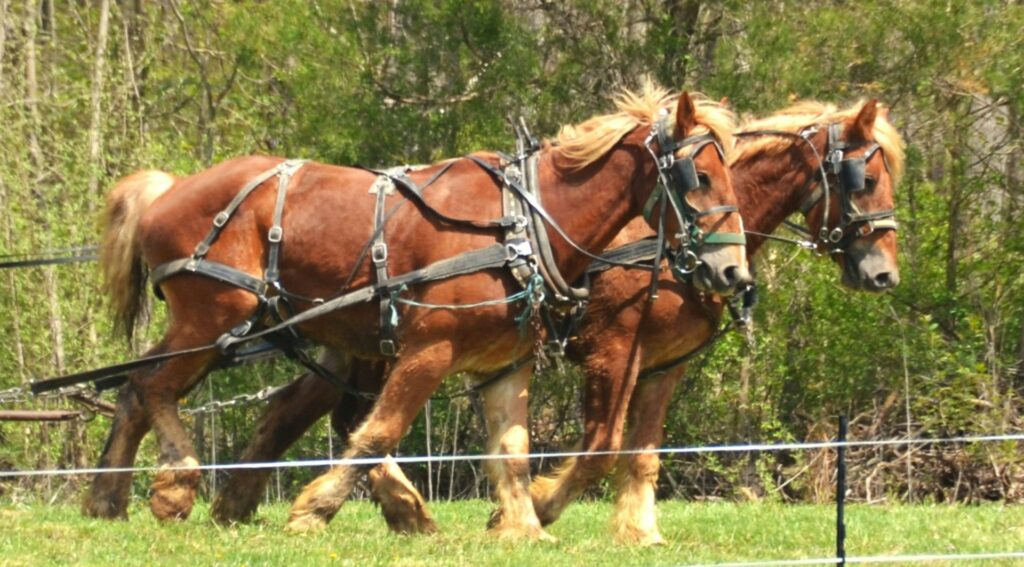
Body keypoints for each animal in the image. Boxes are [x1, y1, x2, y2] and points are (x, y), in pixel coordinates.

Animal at [84, 85, 749, 540]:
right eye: (700, 175)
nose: (733, 273)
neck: (521, 226)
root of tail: (169, 189)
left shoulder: (504, 364)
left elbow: (511, 449)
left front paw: (522, 526)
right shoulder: (428, 350)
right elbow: (380, 429)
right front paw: (314, 509)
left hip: (228, 325)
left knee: (135, 387)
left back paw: (106, 500)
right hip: (215, 317)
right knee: (154, 386)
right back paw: (175, 485)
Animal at [207, 98, 903, 543]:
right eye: (863, 178)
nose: (884, 275)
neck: (659, 246)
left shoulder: (664, 367)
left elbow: (643, 454)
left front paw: (638, 530)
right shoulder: (614, 350)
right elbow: (600, 448)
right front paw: (534, 510)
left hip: (358, 344)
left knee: (301, 410)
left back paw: (245, 503)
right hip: (378, 345)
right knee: (346, 417)